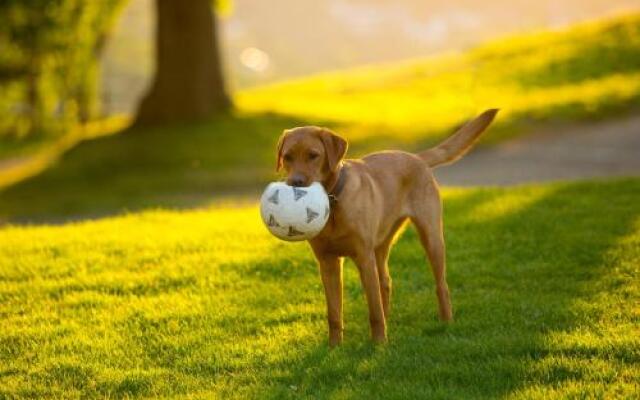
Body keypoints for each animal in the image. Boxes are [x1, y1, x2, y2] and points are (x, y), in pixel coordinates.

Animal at [276, 108, 500, 344]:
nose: (295, 182)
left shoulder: (363, 257)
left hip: (431, 238)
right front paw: (334, 347)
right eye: (287, 157)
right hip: (381, 245)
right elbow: (334, 313)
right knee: (385, 281)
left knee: (441, 285)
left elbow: (373, 310)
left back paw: (446, 322)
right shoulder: (327, 262)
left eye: (313, 155)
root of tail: (416, 157)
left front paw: (379, 344)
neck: (333, 201)